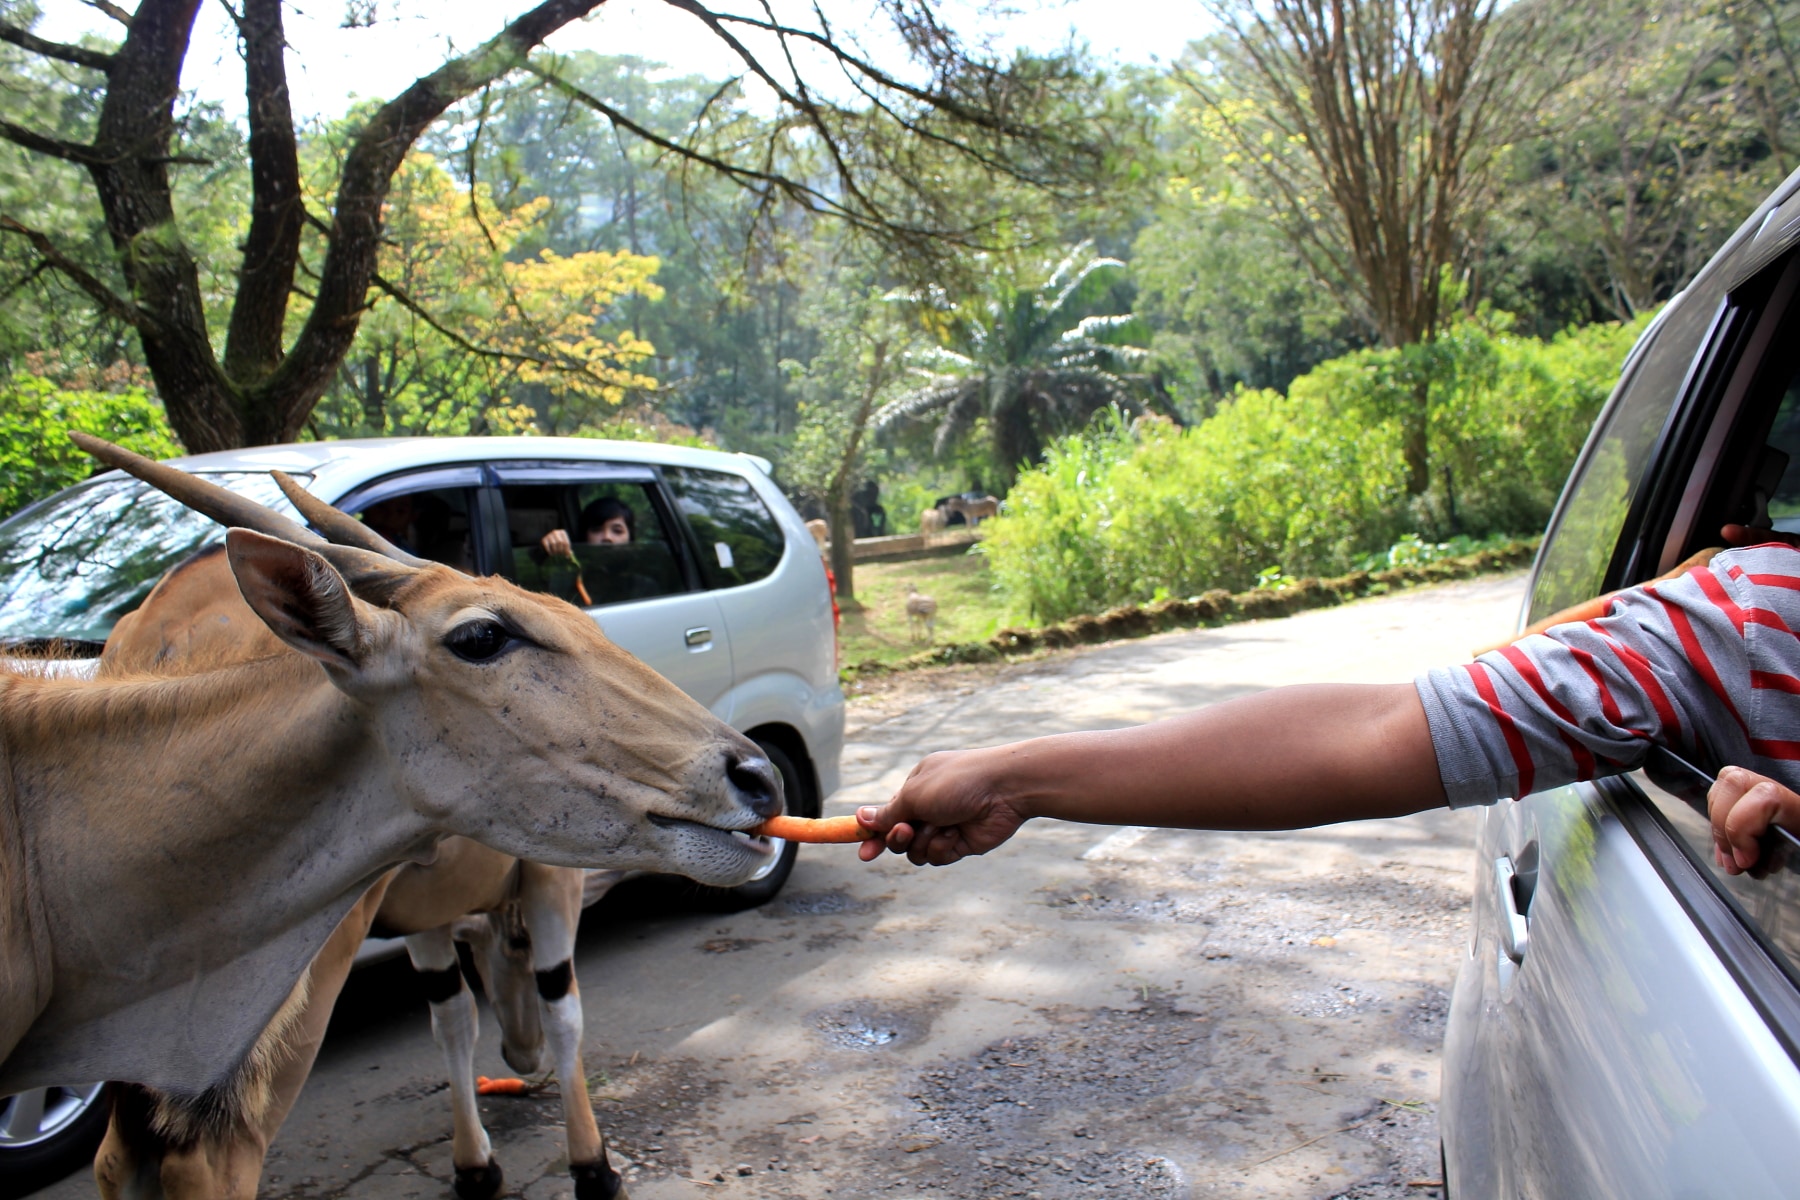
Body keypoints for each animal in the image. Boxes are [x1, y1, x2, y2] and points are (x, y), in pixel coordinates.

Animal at [3, 440, 784, 1200]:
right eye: (480, 636)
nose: (759, 777)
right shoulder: (548, 882)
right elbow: (559, 1009)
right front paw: (591, 1166)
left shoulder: (424, 915)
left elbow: (454, 1015)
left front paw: (477, 1164)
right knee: (209, 1157)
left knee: (120, 1159)